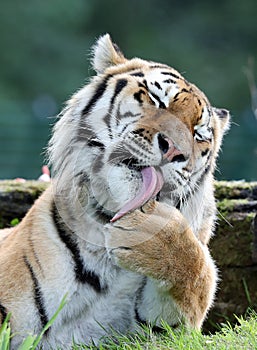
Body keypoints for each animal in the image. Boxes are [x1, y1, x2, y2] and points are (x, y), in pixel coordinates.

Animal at [0, 34, 228, 348]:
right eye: (156, 99)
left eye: (199, 134)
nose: (175, 151)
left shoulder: (170, 331)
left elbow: (198, 275)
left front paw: (154, 234)